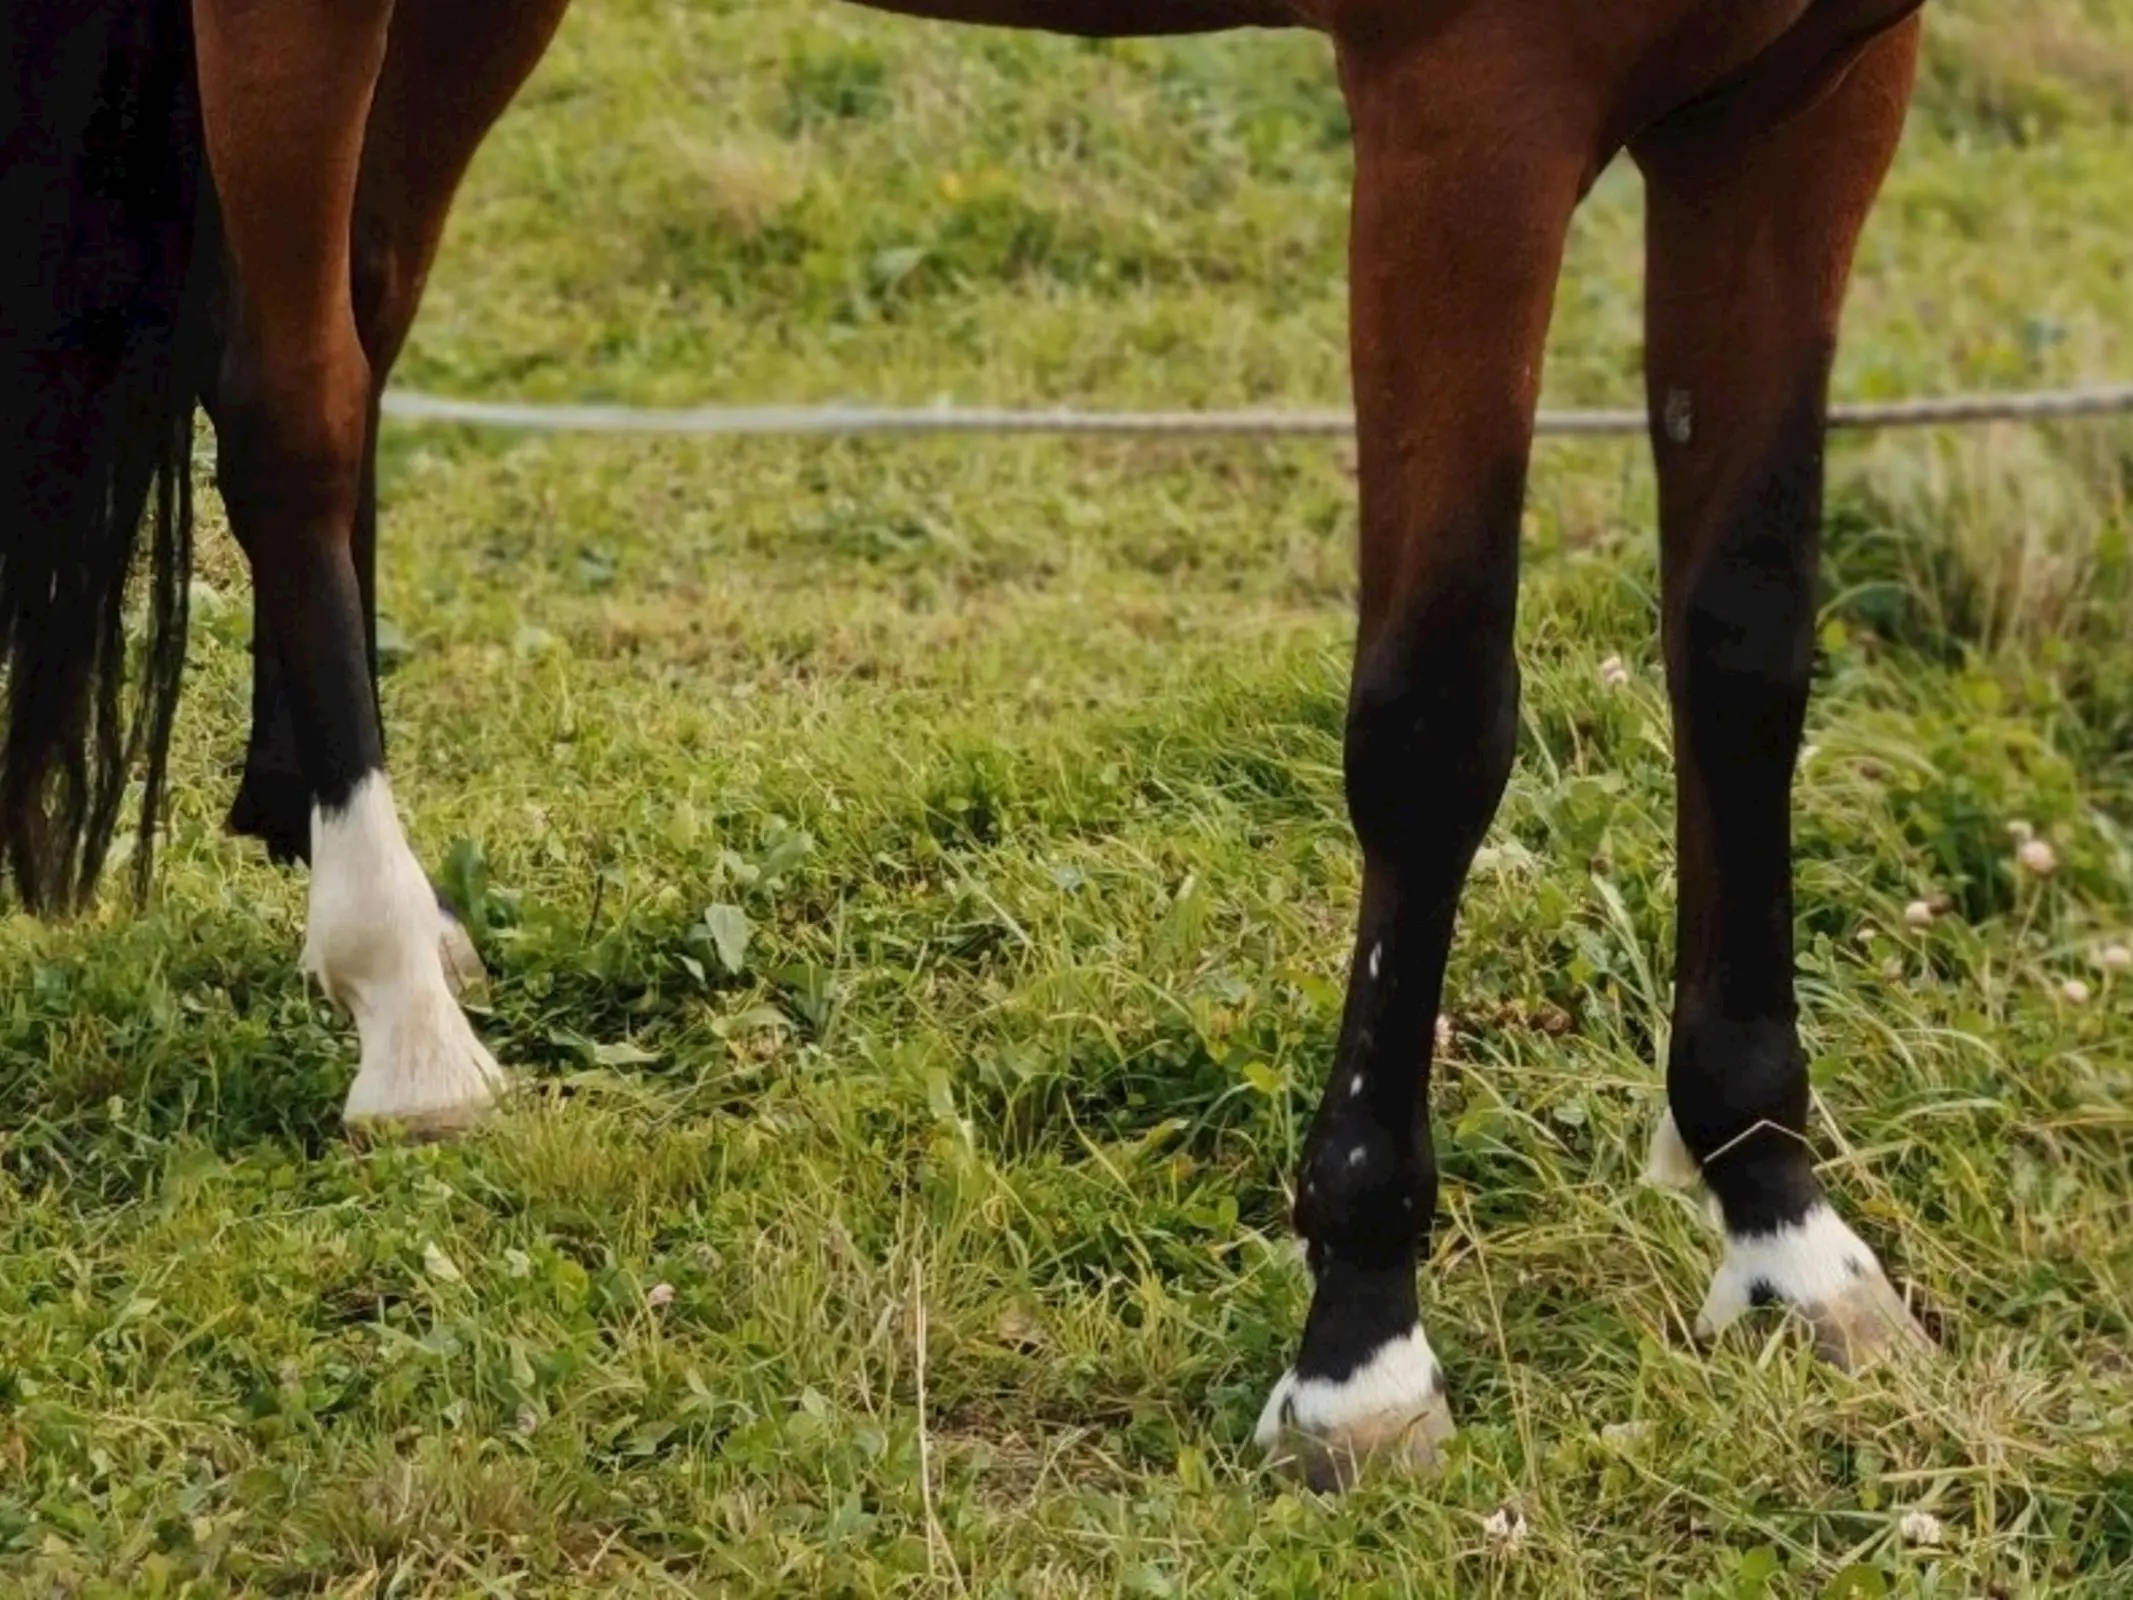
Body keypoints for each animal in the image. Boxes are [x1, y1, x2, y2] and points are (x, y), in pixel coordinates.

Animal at [0, 0, 1936, 1493]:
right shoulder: (1469, 113)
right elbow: (1432, 724)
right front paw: (1357, 1350)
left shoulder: (1805, 104)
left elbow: (1745, 655)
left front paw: (1776, 1221)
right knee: (294, 405)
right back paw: (402, 1009)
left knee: (361, 316)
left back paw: (331, 853)